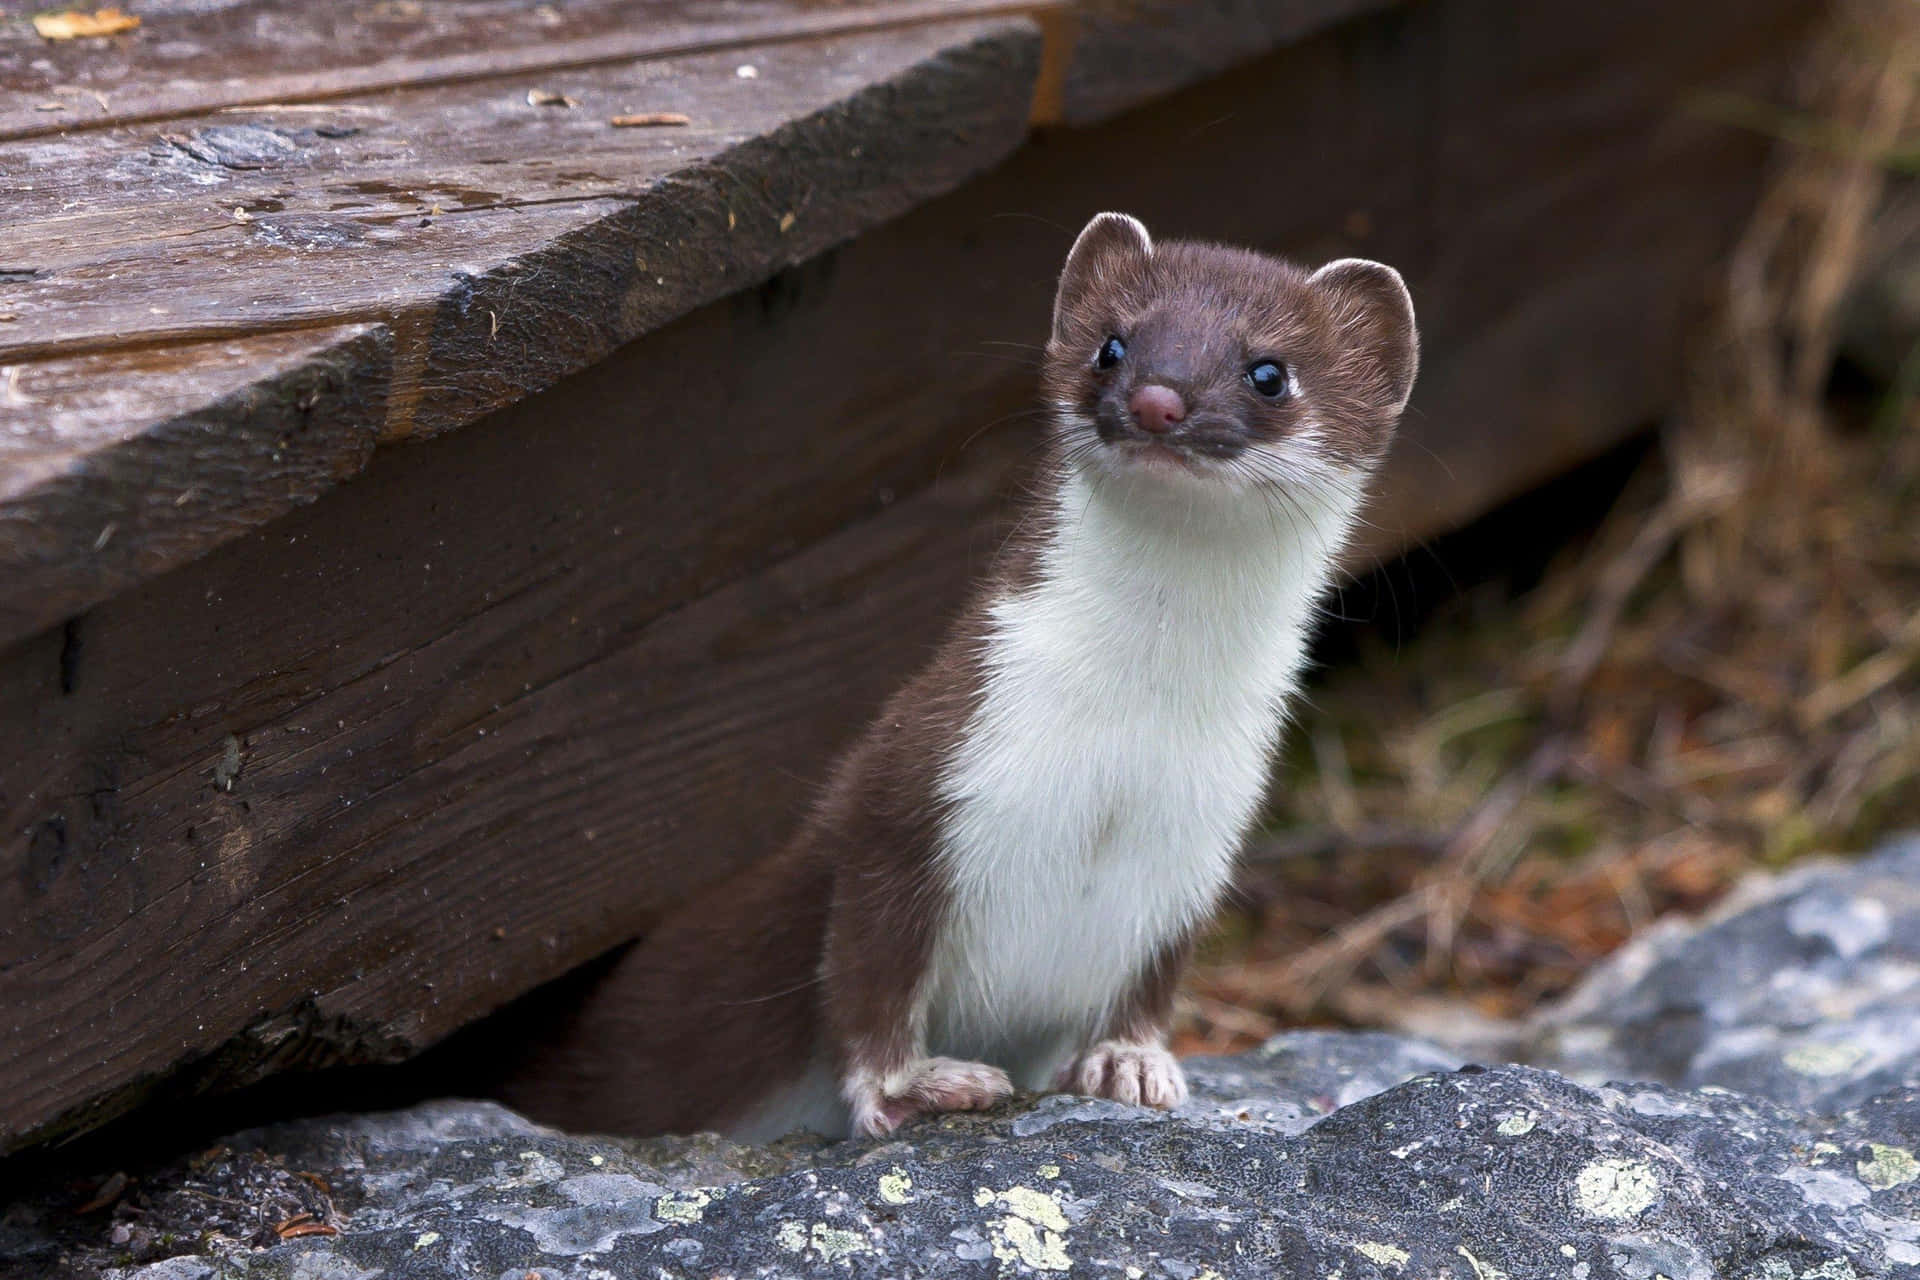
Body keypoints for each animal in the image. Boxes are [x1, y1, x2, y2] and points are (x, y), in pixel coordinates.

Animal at [495, 213, 1420, 1143]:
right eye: (1112, 345)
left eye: (1269, 371)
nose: (1159, 400)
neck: (1125, 745)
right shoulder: (919, 781)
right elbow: (864, 973)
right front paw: (914, 1083)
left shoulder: (1202, 840)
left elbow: (1152, 981)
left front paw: (1130, 1063)